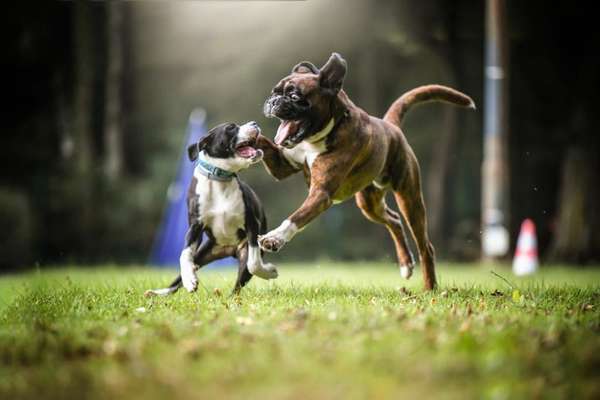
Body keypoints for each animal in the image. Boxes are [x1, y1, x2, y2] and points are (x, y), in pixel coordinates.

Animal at [145, 120, 278, 296]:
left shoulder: (251, 225)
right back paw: (159, 292)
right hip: (203, 253)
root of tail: (228, 249)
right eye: (230, 127)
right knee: (177, 280)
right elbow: (184, 255)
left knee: (240, 281)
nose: (254, 123)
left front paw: (269, 271)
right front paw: (190, 280)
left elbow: (254, 263)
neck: (220, 179)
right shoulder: (195, 227)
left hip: (241, 251)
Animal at [255, 53, 476, 290]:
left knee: (426, 246)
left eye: (295, 96)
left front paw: (274, 238)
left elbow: (295, 218)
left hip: (410, 200)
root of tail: (391, 126)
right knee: (394, 220)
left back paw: (429, 287)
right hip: (369, 203)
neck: (328, 129)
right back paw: (406, 264)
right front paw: (246, 134)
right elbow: (263, 143)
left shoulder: (321, 195)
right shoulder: (281, 165)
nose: (273, 101)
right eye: (275, 92)